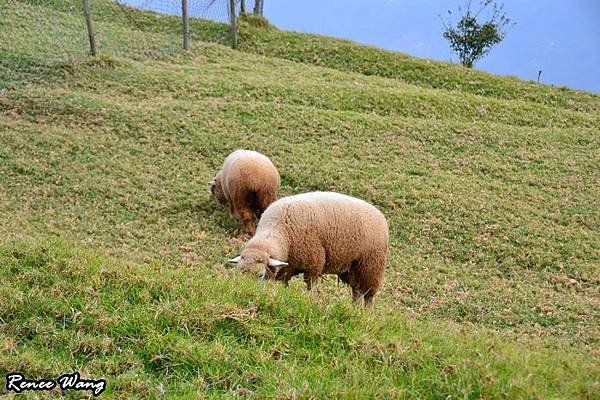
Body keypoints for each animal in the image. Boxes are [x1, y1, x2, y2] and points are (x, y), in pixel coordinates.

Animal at [229, 191, 390, 306]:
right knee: (356, 291)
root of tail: (379, 214)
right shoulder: (287, 268)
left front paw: (310, 301)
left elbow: (311, 287)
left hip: (371, 265)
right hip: (350, 267)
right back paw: (355, 310)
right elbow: (283, 285)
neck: (281, 231)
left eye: (260, 275)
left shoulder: (314, 263)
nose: (246, 291)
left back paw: (366, 315)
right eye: (239, 273)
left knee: (369, 294)